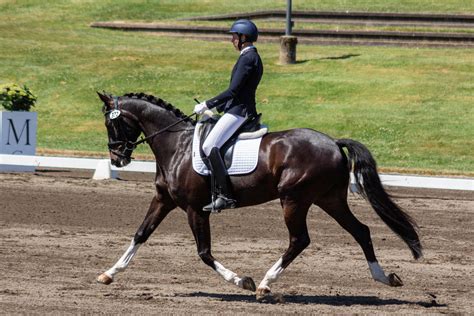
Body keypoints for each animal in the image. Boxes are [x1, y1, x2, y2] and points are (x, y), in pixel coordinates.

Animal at [96, 92, 422, 302]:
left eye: (111, 123)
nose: (117, 159)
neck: (176, 144)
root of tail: (332, 141)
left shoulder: (194, 208)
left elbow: (204, 252)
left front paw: (242, 281)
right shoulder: (164, 200)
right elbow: (140, 234)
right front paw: (109, 274)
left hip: (294, 199)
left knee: (300, 240)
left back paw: (265, 285)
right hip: (329, 199)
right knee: (361, 231)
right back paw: (384, 277)